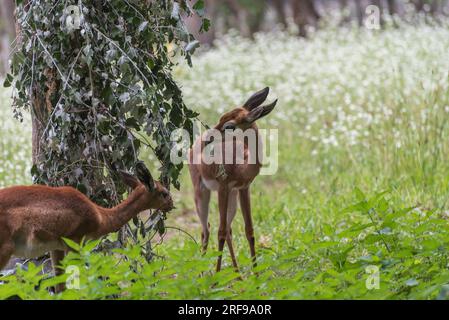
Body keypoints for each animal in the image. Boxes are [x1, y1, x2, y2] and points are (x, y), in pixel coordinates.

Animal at [0, 164, 172, 292]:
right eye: (164, 192)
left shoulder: (56, 247)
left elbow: (60, 285)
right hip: (5, 249)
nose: (171, 205)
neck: (100, 216)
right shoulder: (75, 242)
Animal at [186, 87, 276, 272]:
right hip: (201, 193)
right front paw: (216, 276)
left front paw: (256, 275)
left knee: (228, 229)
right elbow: (219, 232)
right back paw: (202, 273)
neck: (241, 165)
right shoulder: (223, 188)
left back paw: (237, 274)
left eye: (229, 125)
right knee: (206, 229)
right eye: (221, 117)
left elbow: (249, 230)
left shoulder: (243, 188)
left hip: (232, 197)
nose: (207, 138)